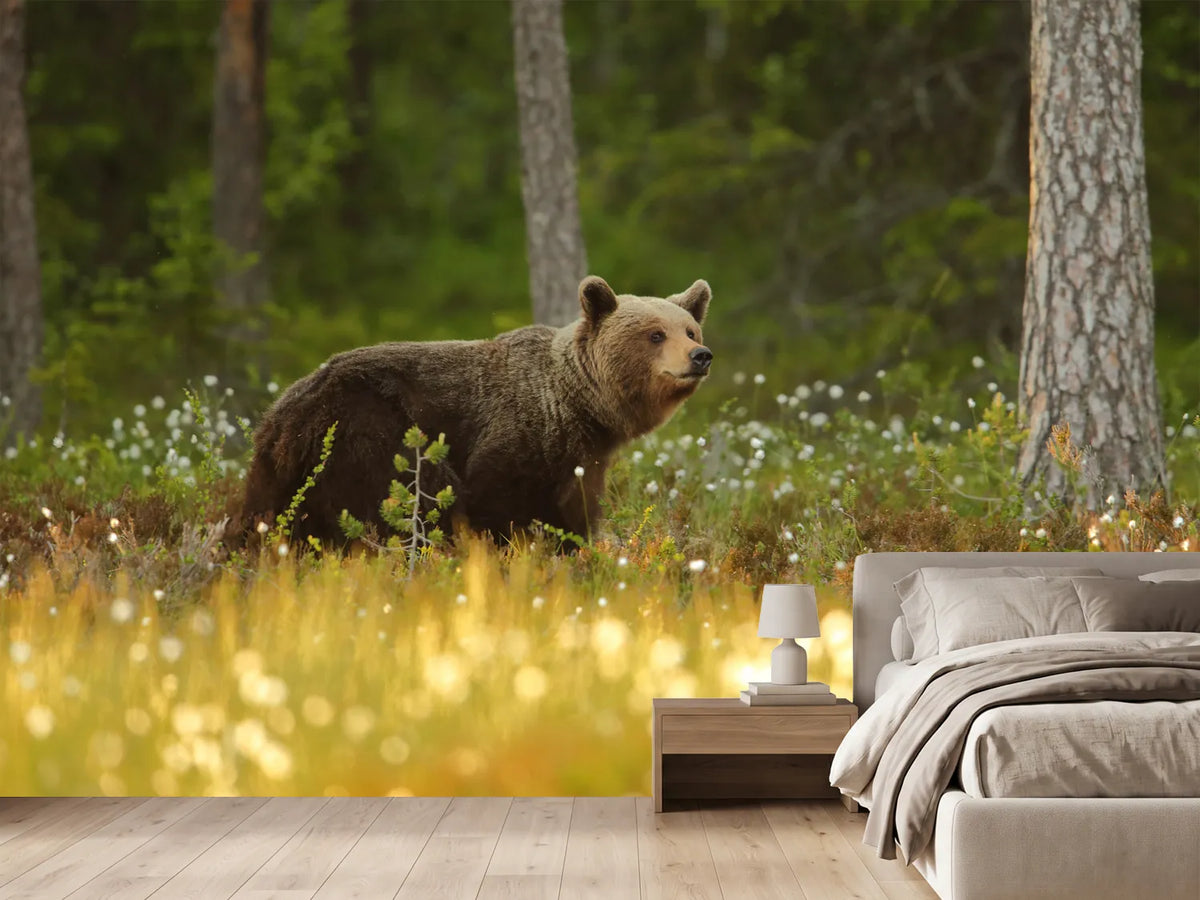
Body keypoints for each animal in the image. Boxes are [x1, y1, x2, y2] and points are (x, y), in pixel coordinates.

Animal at [237, 276, 713, 547]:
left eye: (690, 329)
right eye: (655, 334)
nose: (701, 355)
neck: (579, 406)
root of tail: (282, 412)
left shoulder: (580, 458)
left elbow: (574, 512)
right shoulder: (516, 436)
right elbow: (497, 503)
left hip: (285, 470)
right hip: (369, 430)